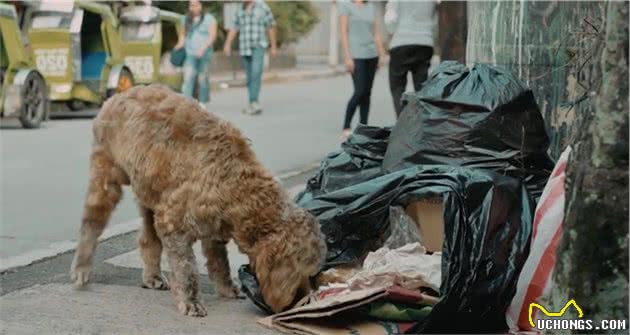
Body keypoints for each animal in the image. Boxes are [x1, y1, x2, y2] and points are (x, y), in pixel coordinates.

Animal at [73, 85, 330, 316]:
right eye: (301, 271)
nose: (305, 300)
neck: (235, 181)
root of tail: (119, 94)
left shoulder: (214, 228)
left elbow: (220, 263)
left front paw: (226, 288)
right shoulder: (173, 223)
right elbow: (186, 269)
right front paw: (191, 300)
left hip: (149, 193)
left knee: (148, 238)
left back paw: (152, 276)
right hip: (106, 177)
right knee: (91, 224)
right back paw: (82, 266)